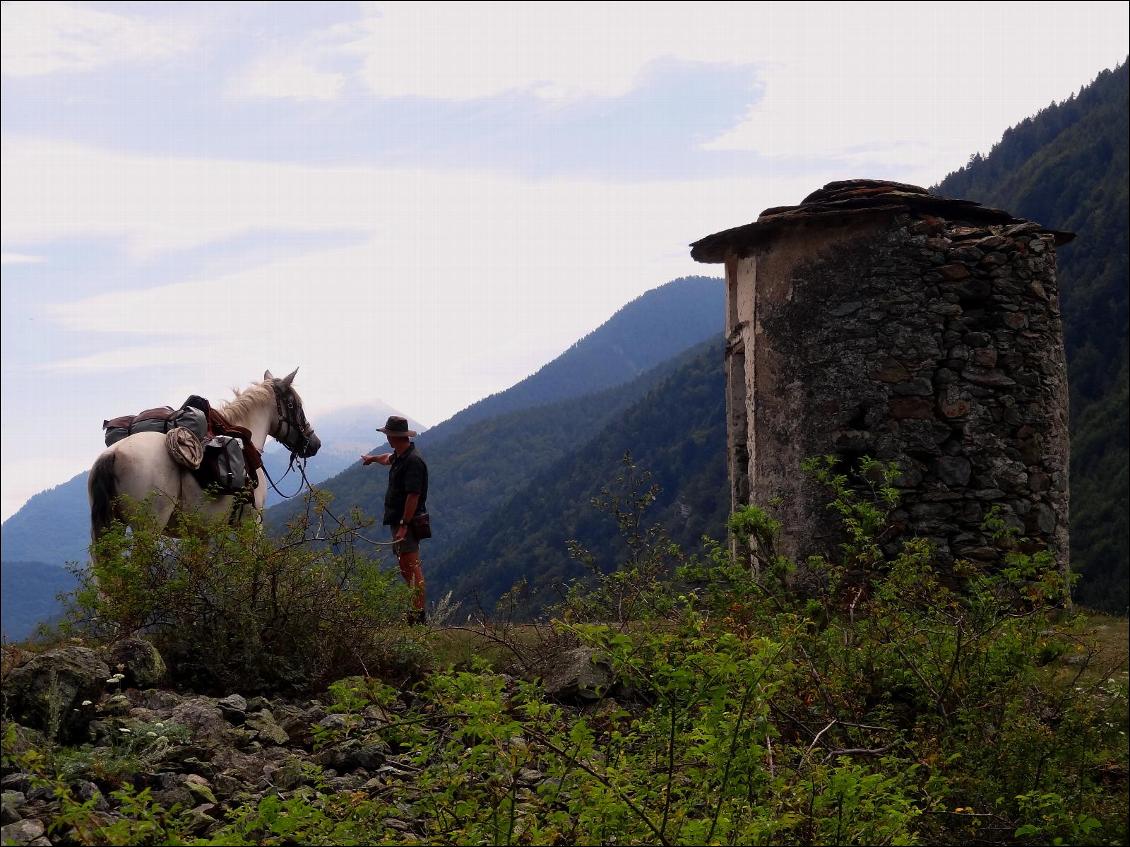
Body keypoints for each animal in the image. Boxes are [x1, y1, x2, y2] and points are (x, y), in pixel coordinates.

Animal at [85, 370, 318, 544]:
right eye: (295, 405)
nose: (314, 444)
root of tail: (112, 454)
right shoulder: (251, 525)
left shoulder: (201, 533)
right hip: (148, 529)